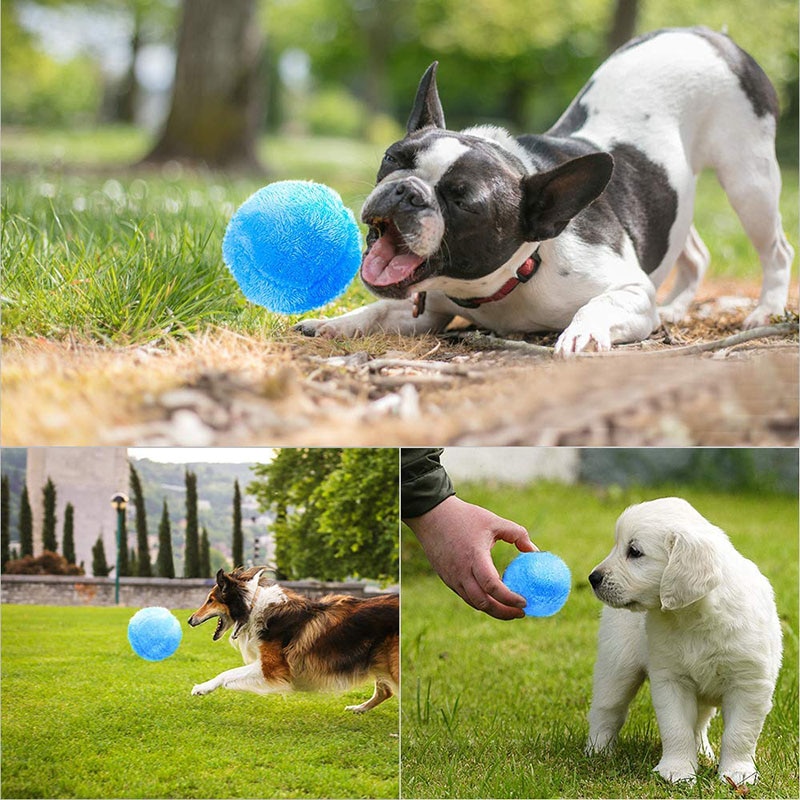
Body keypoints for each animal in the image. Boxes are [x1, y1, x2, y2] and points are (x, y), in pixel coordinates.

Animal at [188, 564, 400, 716]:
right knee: (385, 691)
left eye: (210, 600)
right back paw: (359, 708)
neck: (252, 606)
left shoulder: (273, 667)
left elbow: (227, 673)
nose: (190, 620)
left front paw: (201, 688)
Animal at [300, 27, 792, 356]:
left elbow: (600, 305)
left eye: (463, 201)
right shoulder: (428, 310)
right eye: (393, 158)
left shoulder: (629, 290)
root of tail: (707, 34)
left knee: (777, 249)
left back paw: (765, 310)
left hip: (749, 178)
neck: (517, 276)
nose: (406, 191)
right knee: (691, 249)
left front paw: (582, 333)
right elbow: (378, 312)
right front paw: (336, 323)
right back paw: (673, 307)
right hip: (677, 194)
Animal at [588, 496, 780, 784]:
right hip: (617, 665)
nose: (593, 578)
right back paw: (597, 751)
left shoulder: (750, 683)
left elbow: (740, 734)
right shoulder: (671, 679)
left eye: (634, 551)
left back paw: (703, 753)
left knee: (699, 723)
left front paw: (737, 773)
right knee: (606, 709)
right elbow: (676, 727)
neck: (694, 616)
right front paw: (676, 771)